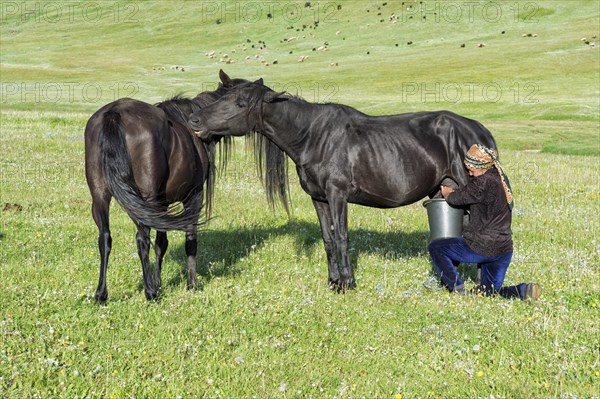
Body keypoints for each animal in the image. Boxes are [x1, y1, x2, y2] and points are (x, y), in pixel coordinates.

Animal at [84, 70, 244, 302]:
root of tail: (114, 113)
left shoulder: (162, 205)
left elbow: (161, 244)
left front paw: (159, 282)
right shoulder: (194, 197)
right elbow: (190, 240)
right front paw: (191, 283)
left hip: (101, 198)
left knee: (105, 238)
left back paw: (101, 294)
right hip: (146, 200)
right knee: (142, 239)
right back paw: (150, 292)